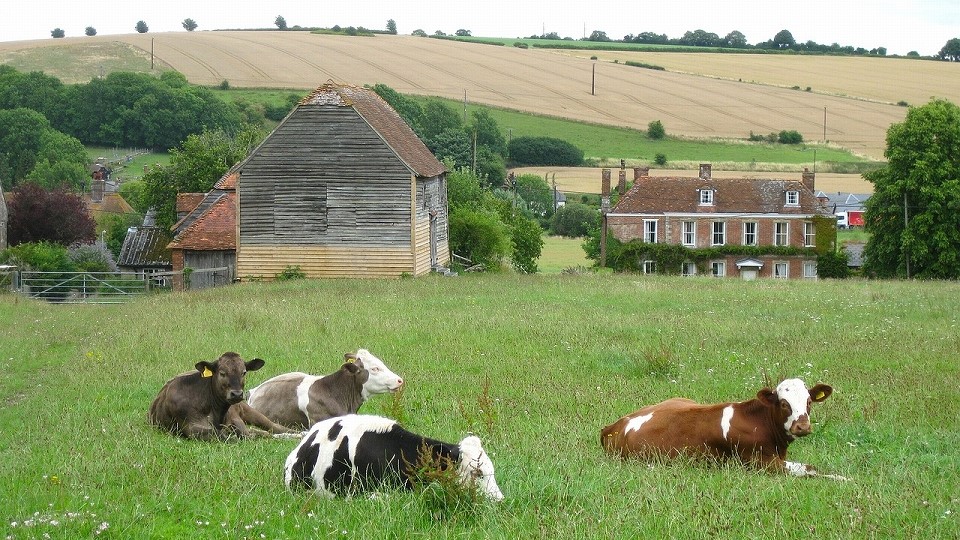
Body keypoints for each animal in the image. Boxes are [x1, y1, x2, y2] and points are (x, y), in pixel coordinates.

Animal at [148, 352, 300, 440]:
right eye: (222, 373)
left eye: (244, 372)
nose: (237, 394)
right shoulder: (191, 427)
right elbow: (225, 435)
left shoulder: (235, 419)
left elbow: (248, 433)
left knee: (274, 427)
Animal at [600, 378, 848, 478]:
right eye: (784, 403)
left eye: (809, 401)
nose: (802, 426)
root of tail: (615, 424)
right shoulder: (760, 463)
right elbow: (809, 470)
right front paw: (844, 479)